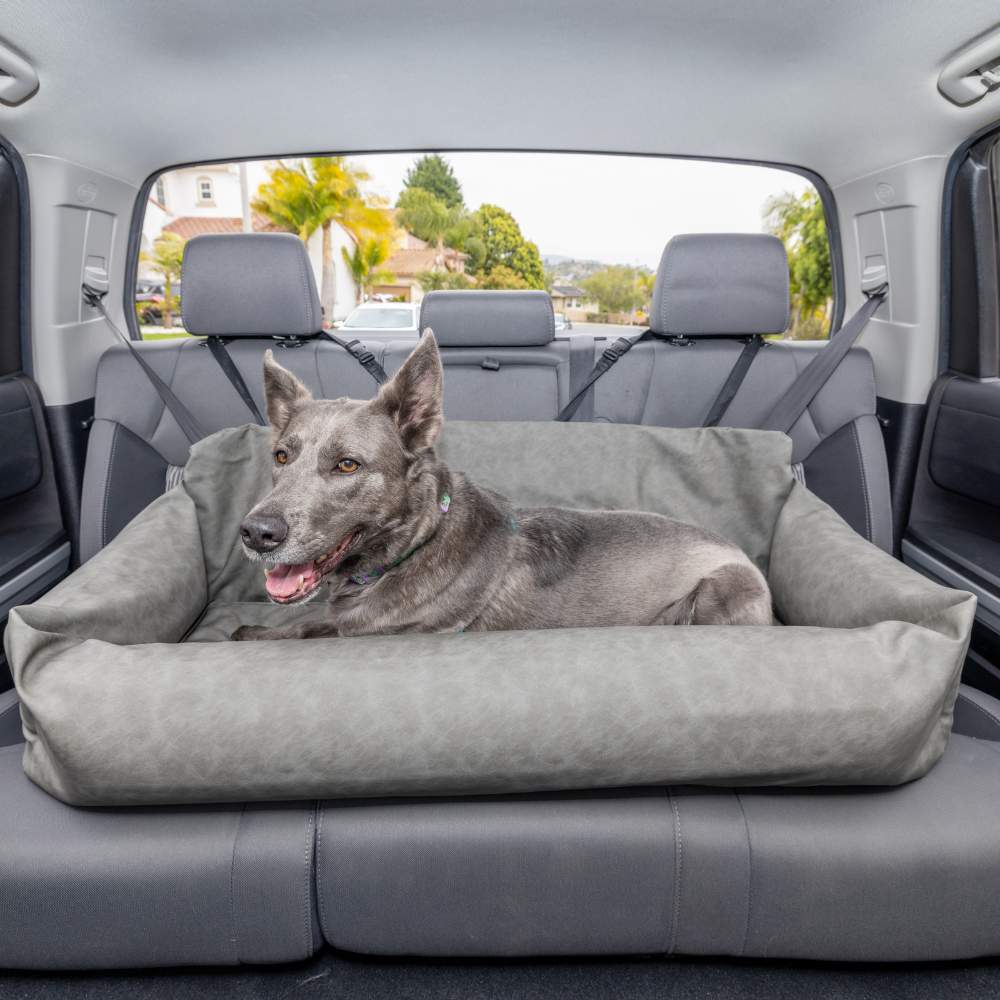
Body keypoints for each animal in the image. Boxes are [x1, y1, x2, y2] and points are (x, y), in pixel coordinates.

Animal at [234, 330, 772, 640]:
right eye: (281, 457)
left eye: (347, 465)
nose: (257, 534)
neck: (416, 543)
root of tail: (742, 554)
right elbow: (309, 624)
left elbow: (312, 628)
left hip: (718, 590)